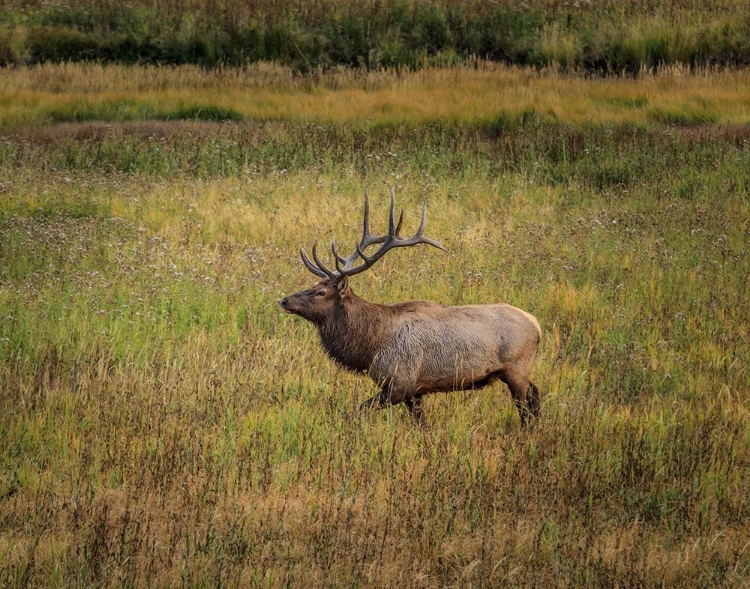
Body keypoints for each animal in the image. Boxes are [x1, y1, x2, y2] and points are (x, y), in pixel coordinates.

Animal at [280, 188, 544, 422]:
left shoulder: (400, 384)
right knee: (536, 396)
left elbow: (358, 410)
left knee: (527, 406)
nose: (284, 300)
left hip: (517, 368)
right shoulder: (415, 392)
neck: (371, 347)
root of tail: (537, 325)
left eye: (321, 292)